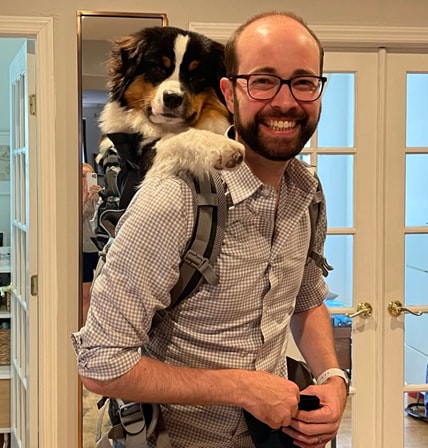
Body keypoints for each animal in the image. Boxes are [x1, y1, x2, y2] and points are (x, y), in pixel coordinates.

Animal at [98, 25, 244, 189]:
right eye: (158, 68)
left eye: (197, 76)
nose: (172, 98)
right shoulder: (140, 163)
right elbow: (180, 137)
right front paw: (225, 146)